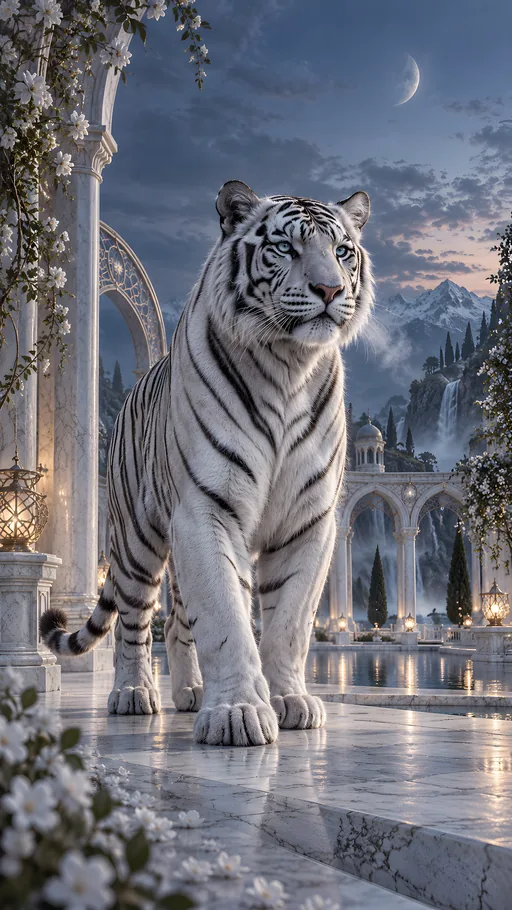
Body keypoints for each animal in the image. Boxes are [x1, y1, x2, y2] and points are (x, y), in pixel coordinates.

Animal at [40, 180, 374, 747]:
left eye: (342, 251)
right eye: (285, 247)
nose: (330, 290)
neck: (289, 365)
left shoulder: (310, 521)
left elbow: (289, 621)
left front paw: (290, 700)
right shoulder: (206, 508)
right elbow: (224, 618)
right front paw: (238, 711)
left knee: (176, 622)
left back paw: (190, 692)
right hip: (136, 540)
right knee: (133, 621)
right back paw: (133, 694)